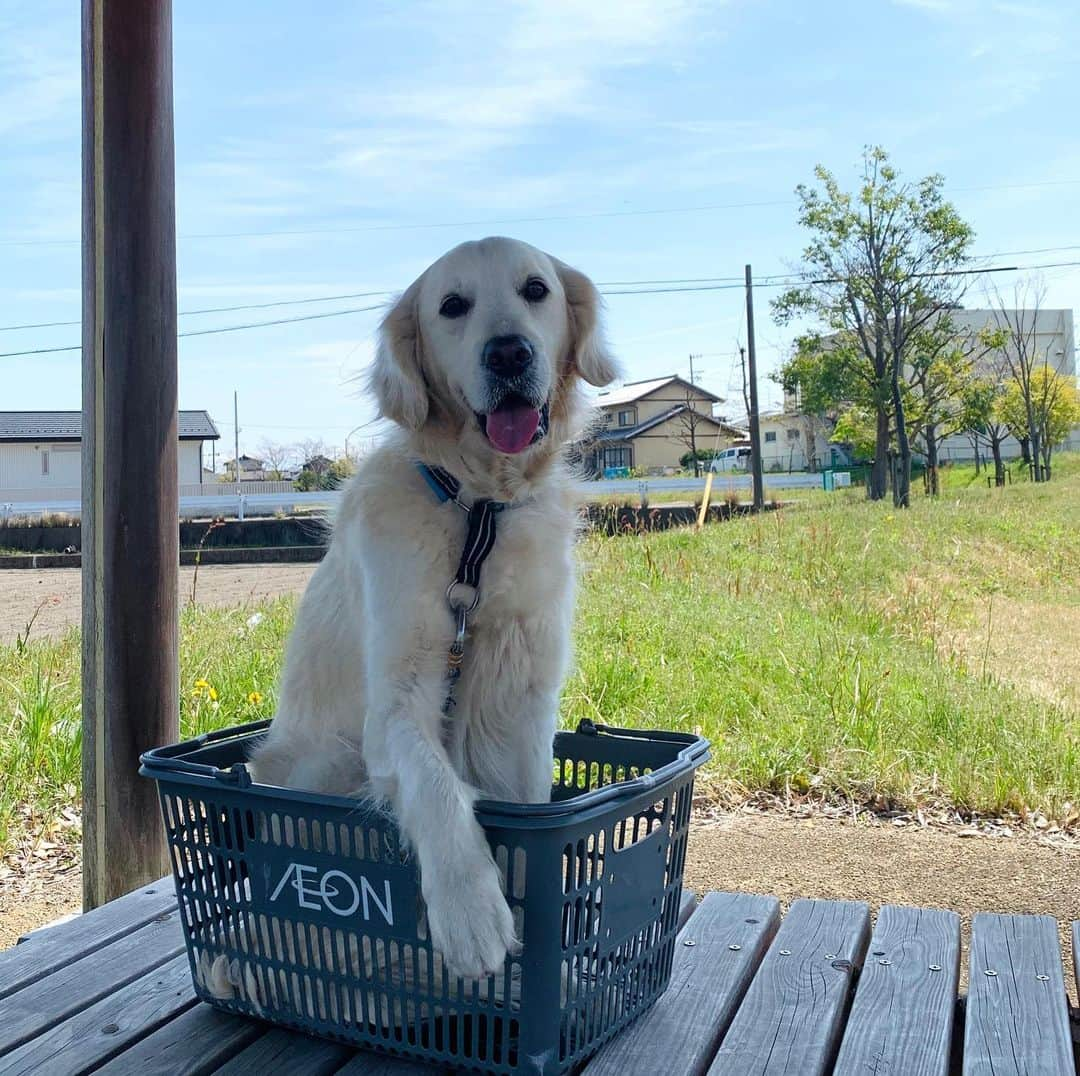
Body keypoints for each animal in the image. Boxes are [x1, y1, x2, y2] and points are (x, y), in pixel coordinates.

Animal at [247, 239, 617, 980]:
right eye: (452, 305)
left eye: (536, 289)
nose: (508, 353)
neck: (478, 513)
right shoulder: (396, 700)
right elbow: (436, 784)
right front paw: (471, 913)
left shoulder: (522, 696)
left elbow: (525, 807)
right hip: (325, 762)